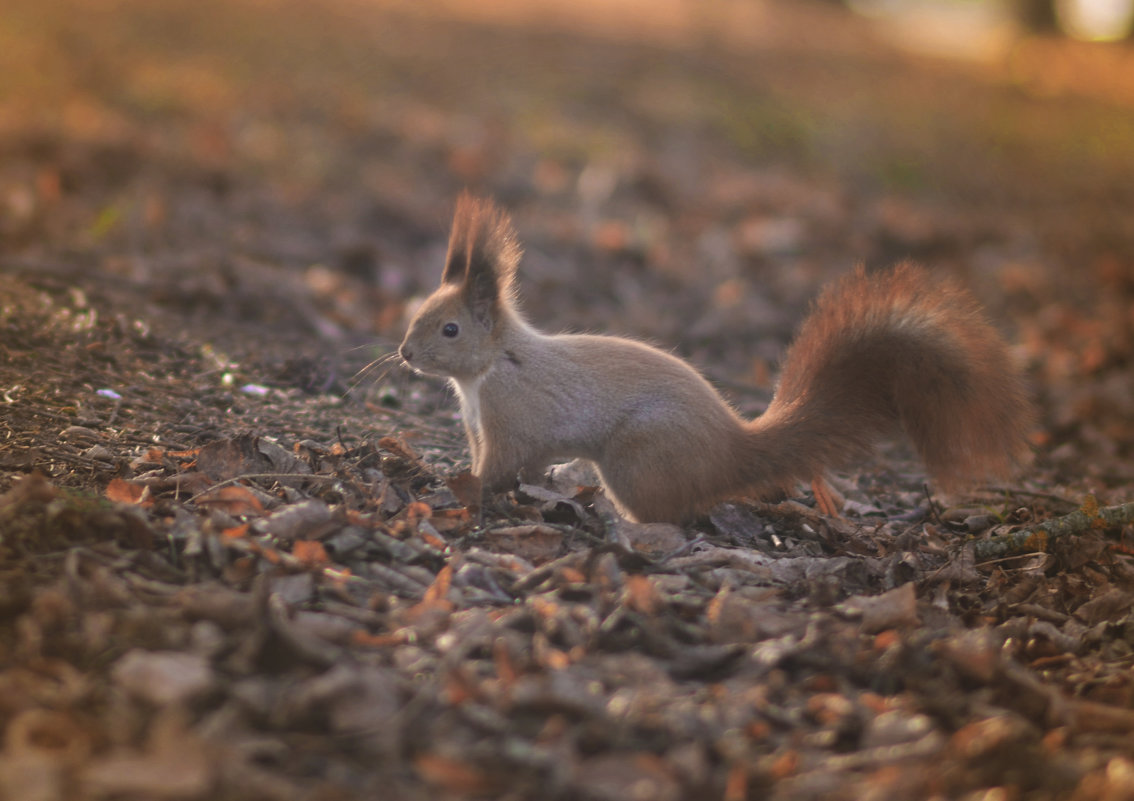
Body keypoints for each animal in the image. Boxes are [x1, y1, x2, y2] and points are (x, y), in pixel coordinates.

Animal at [399, 190, 1038, 521]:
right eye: (418, 313)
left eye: (450, 329)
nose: (404, 355)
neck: (488, 371)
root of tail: (734, 449)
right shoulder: (480, 426)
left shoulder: (511, 423)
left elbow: (499, 468)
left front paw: (458, 492)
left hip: (639, 457)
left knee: (671, 513)